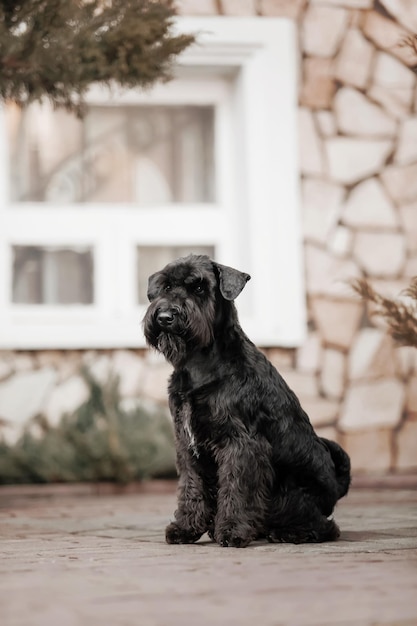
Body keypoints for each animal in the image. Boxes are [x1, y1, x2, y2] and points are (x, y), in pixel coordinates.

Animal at [142, 254, 348, 544]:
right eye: (166, 286)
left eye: (199, 287)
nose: (164, 316)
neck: (199, 363)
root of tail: (336, 488)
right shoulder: (186, 445)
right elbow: (192, 487)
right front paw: (186, 528)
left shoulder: (240, 444)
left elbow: (237, 488)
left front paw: (231, 530)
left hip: (291, 492)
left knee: (324, 525)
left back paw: (286, 532)